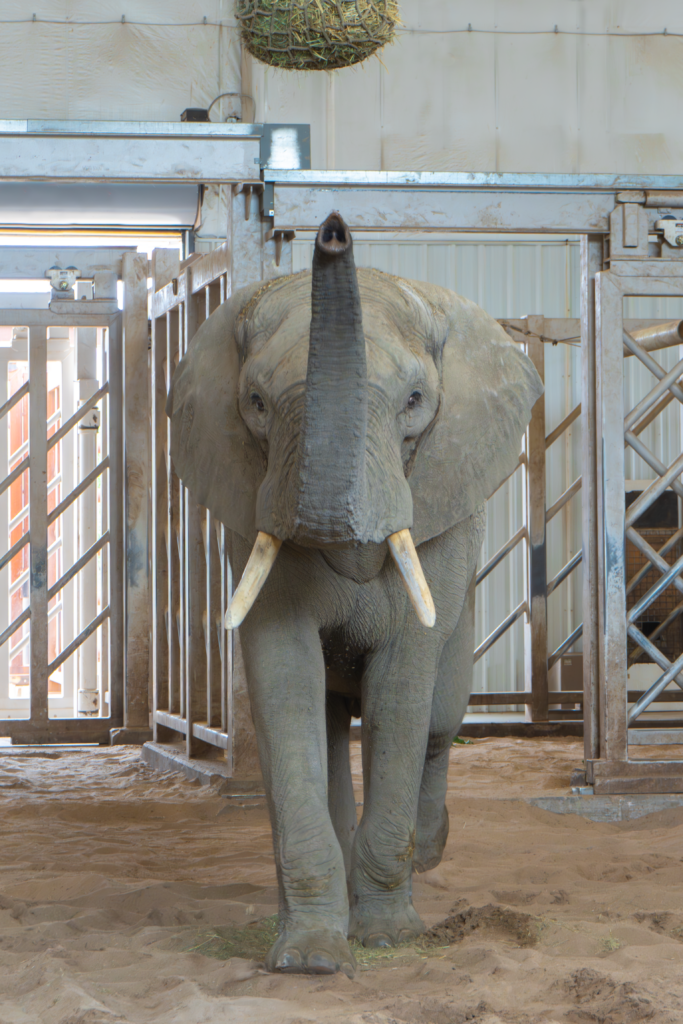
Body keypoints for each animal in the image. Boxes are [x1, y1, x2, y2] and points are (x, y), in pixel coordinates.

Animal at [167, 211, 540, 978]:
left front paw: (389, 936)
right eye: (255, 402)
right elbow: (285, 682)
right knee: (333, 721)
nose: (335, 231)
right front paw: (309, 955)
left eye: (415, 401)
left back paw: (429, 853)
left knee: (440, 718)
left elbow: (401, 688)